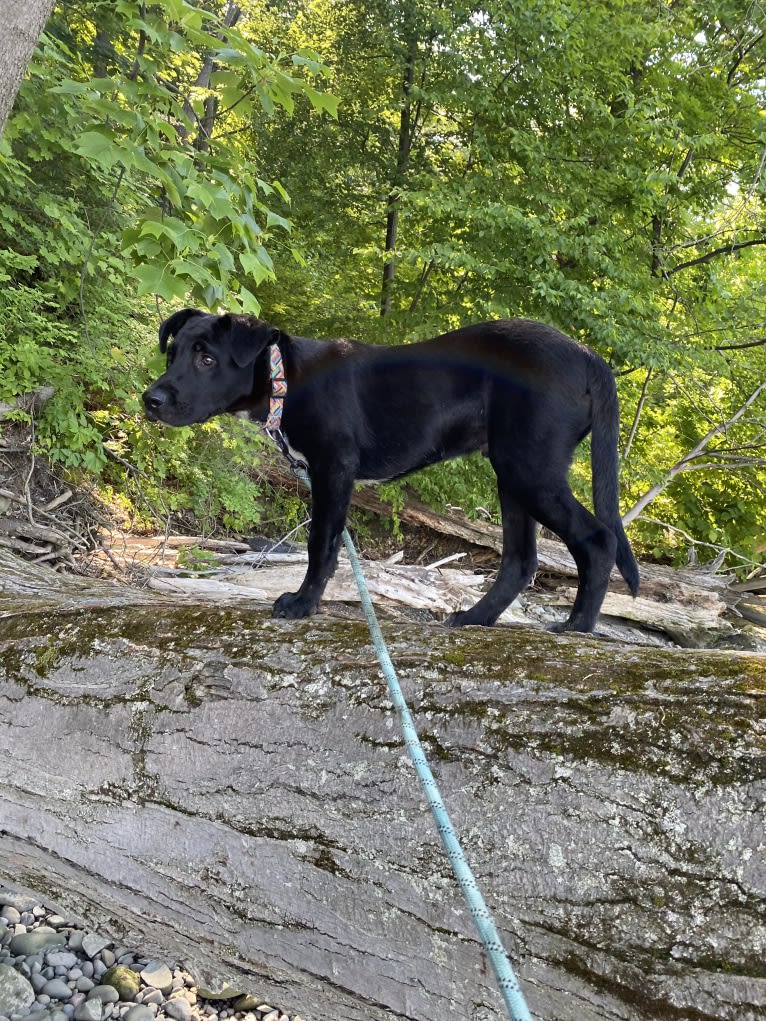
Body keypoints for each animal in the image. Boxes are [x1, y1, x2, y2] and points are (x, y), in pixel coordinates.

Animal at [145, 306, 641, 633]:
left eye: (207, 358)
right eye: (172, 354)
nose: (151, 400)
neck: (288, 378)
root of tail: (588, 356)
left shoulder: (333, 469)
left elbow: (321, 546)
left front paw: (303, 604)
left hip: (529, 468)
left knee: (599, 539)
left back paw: (576, 627)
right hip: (512, 471)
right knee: (521, 561)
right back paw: (475, 618)